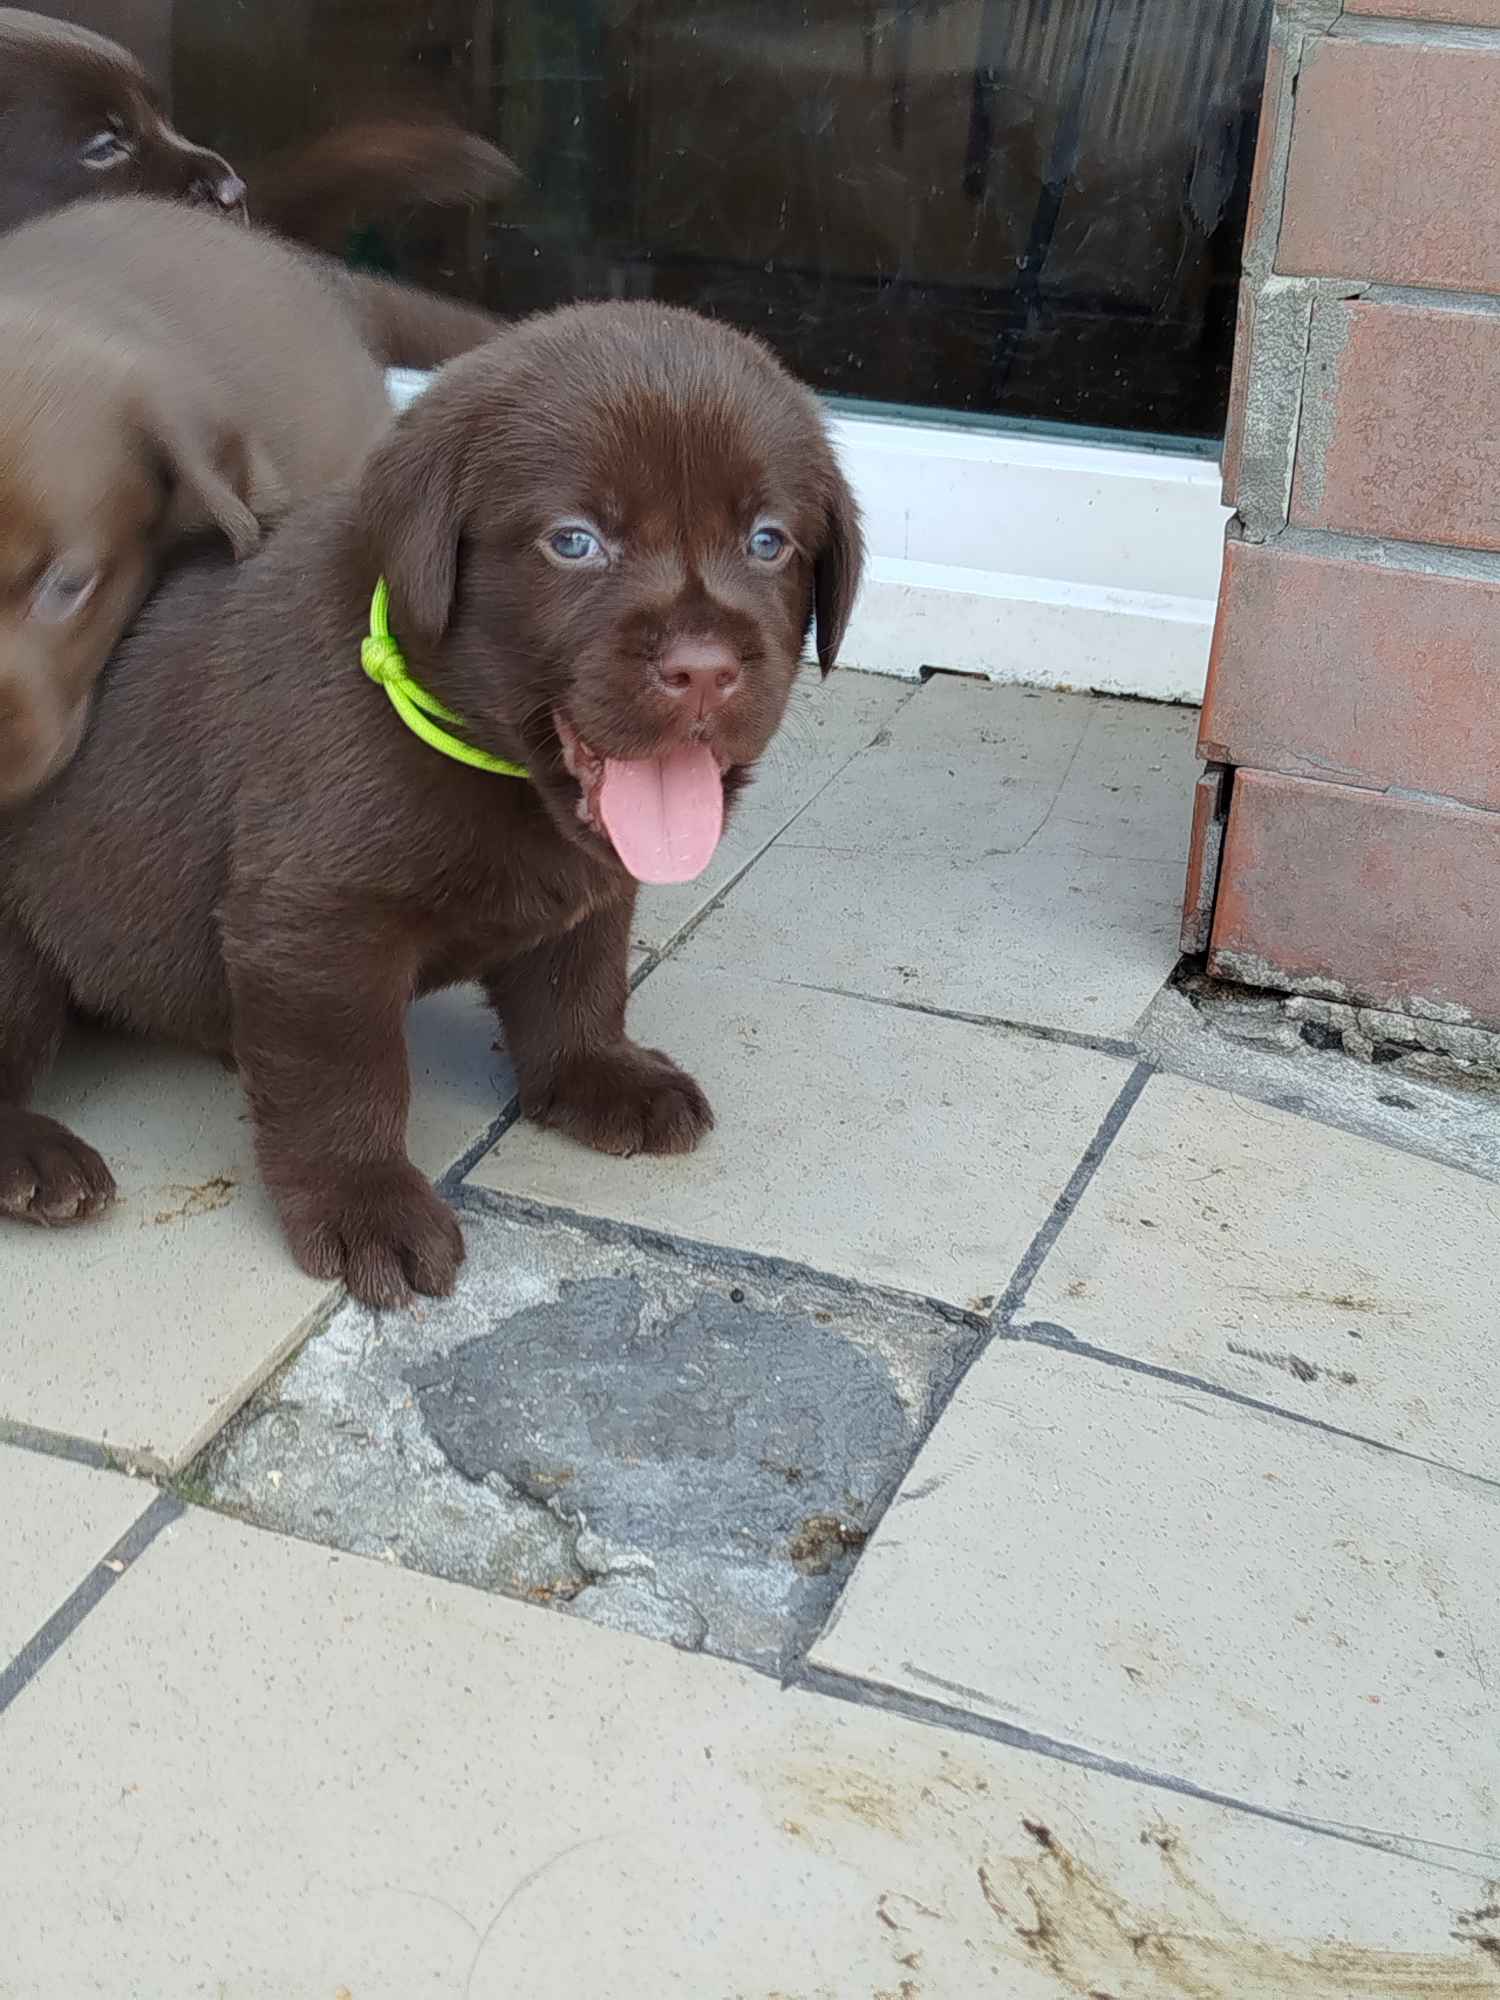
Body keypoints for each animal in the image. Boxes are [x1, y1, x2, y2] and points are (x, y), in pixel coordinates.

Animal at [0, 304, 864, 1312]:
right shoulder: (313, 924)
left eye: (768, 540)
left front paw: (596, 1074)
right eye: (574, 541)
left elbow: (580, 983)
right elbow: (348, 1076)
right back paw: (36, 1158)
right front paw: (365, 1203)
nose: (703, 669)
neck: (496, 760)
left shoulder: (591, 886)